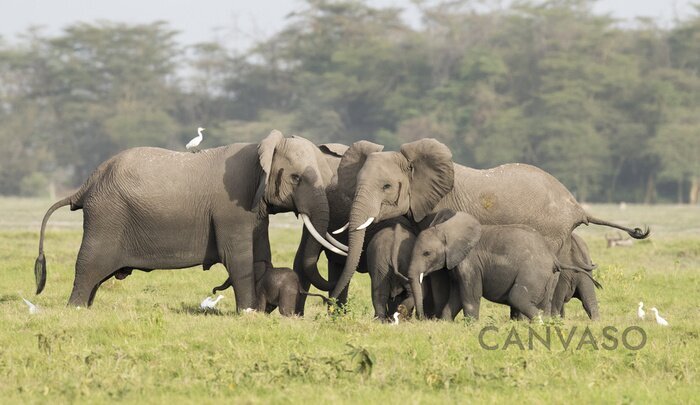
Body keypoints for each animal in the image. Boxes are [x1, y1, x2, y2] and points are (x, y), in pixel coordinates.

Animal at [32, 131, 344, 308]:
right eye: (296, 178)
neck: (263, 147)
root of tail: (86, 185)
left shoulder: (255, 209)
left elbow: (259, 257)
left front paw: (256, 311)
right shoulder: (232, 207)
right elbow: (238, 258)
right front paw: (248, 312)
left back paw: (86, 308)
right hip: (106, 215)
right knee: (90, 263)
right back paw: (75, 310)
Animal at [408, 210, 560, 320]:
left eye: (426, 253)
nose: (422, 318)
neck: (446, 229)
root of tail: (552, 257)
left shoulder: (470, 263)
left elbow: (471, 295)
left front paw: (471, 327)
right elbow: (456, 297)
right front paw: (445, 323)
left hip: (533, 273)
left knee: (517, 298)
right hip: (549, 278)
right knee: (543, 303)